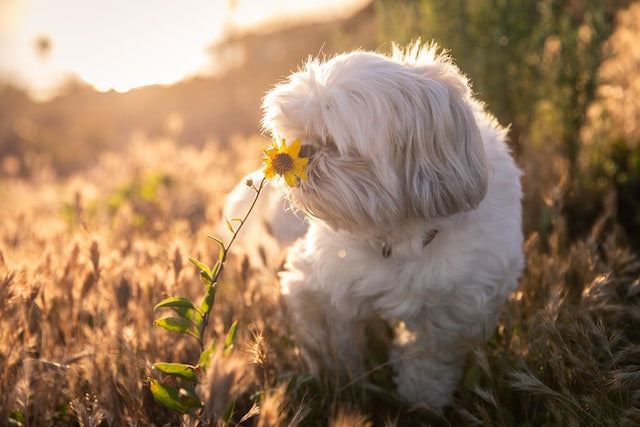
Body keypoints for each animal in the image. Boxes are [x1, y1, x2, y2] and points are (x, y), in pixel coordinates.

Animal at [222, 42, 524, 408]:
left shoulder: (459, 307)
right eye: (296, 135)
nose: (302, 151)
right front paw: (341, 387)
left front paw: (422, 398)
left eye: (333, 141)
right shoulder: (316, 284)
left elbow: (430, 357)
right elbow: (333, 343)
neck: (397, 234)